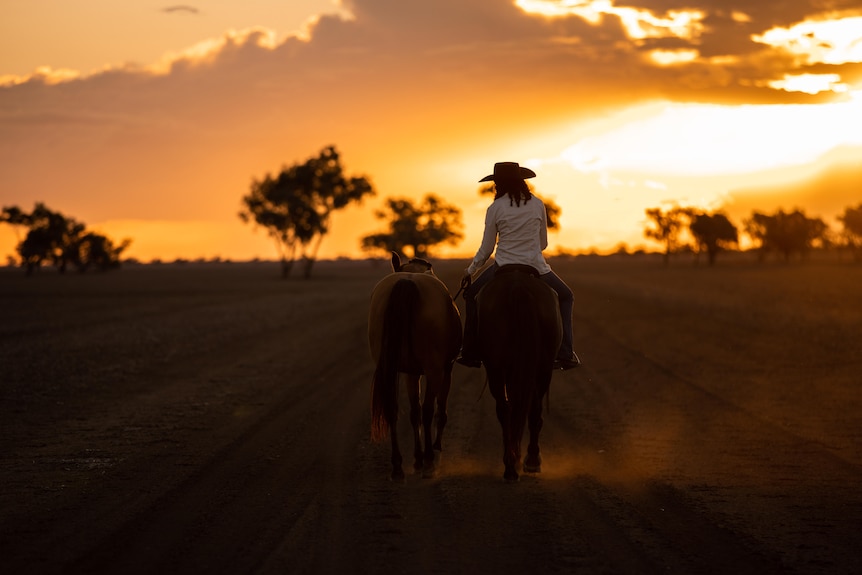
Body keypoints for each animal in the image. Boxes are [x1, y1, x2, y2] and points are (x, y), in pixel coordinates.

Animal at [370, 252, 466, 482]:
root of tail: (407, 282)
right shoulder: (445, 370)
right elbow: (438, 411)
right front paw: (432, 452)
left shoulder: (410, 374)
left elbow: (414, 412)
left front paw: (416, 459)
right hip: (434, 371)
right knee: (429, 411)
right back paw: (430, 460)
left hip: (388, 367)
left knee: (393, 409)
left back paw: (397, 466)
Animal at [476, 266, 564, 482]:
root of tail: (519, 288)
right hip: (541, 368)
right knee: (530, 410)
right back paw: (526, 461)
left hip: (498, 368)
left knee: (507, 409)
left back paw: (512, 464)